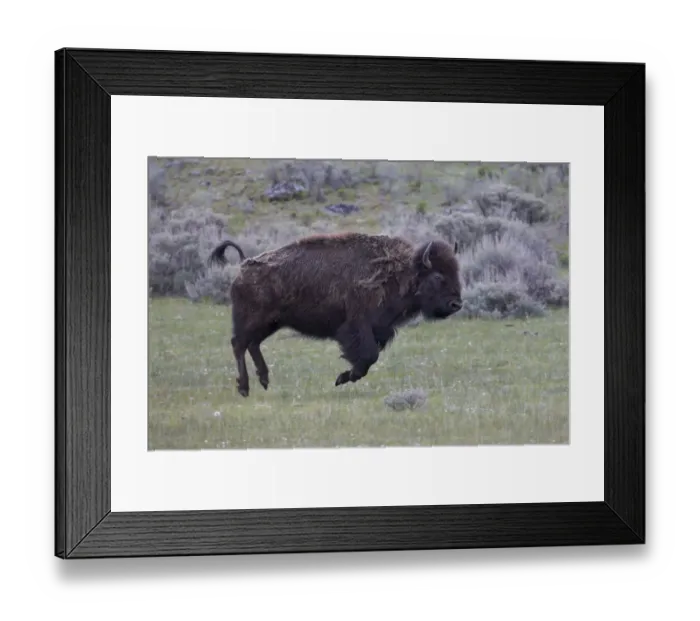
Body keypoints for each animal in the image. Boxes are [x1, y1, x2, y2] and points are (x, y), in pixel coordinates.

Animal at [207, 232, 463, 397]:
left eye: (456, 271)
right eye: (438, 276)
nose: (456, 304)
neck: (400, 271)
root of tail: (243, 265)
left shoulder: (380, 329)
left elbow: (368, 357)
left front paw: (343, 377)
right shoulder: (357, 327)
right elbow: (368, 357)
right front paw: (341, 379)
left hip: (271, 323)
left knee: (252, 344)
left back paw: (264, 380)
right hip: (252, 320)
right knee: (239, 344)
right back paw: (244, 388)